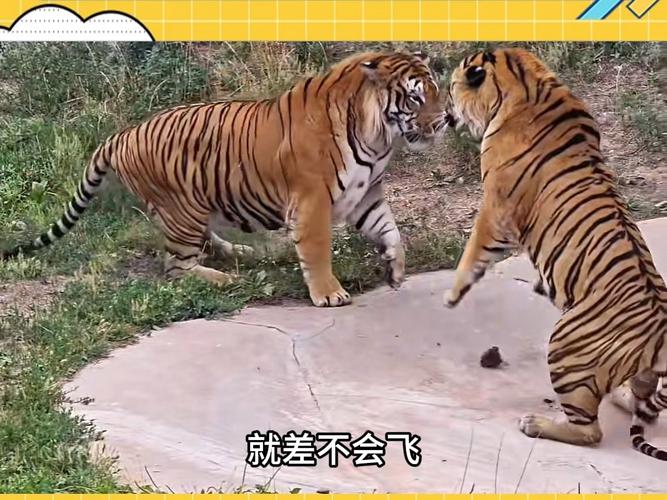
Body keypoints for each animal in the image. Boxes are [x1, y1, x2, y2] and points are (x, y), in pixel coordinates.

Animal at [2, 51, 447, 308]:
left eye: (435, 89)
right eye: (415, 97)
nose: (444, 120)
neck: (378, 136)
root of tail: (120, 134)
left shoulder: (366, 193)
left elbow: (390, 230)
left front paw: (395, 269)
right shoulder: (312, 201)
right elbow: (318, 250)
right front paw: (329, 293)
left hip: (193, 206)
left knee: (197, 247)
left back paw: (240, 253)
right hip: (183, 208)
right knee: (174, 269)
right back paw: (226, 278)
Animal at [442, 47, 667, 460]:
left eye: (452, 85)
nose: (445, 110)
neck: (525, 80)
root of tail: (660, 332)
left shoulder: (496, 209)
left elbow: (473, 251)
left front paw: (452, 295)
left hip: (566, 347)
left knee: (590, 431)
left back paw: (535, 423)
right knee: (642, 403)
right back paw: (621, 396)